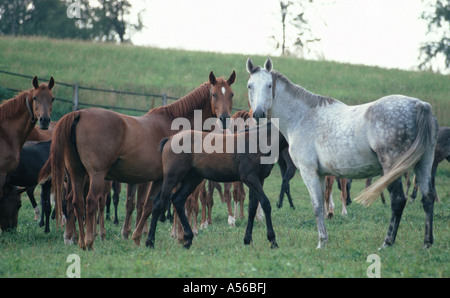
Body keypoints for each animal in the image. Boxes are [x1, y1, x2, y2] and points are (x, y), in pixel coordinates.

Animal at [40, 70, 236, 249]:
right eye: (214, 94)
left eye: (231, 94)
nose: (225, 118)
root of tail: (79, 114)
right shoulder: (170, 179)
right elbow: (174, 203)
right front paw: (180, 236)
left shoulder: (157, 179)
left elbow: (149, 206)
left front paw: (137, 237)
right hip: (95, 175)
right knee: (90, 202)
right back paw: (89, 241)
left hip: (77, 174)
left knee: (76, 202)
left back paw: (78, 240)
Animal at [147, 121, 288, 249]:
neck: (259, 141)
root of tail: (169, 139)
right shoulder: (250, 178)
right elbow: (265, 203)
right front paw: (273, 241)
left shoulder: (259, 180)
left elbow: (253, 207)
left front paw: (247, 240)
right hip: (172, 178)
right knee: (159, 203)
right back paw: (150, 242)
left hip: (192, 180)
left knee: (178, 200)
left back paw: (188, 240)